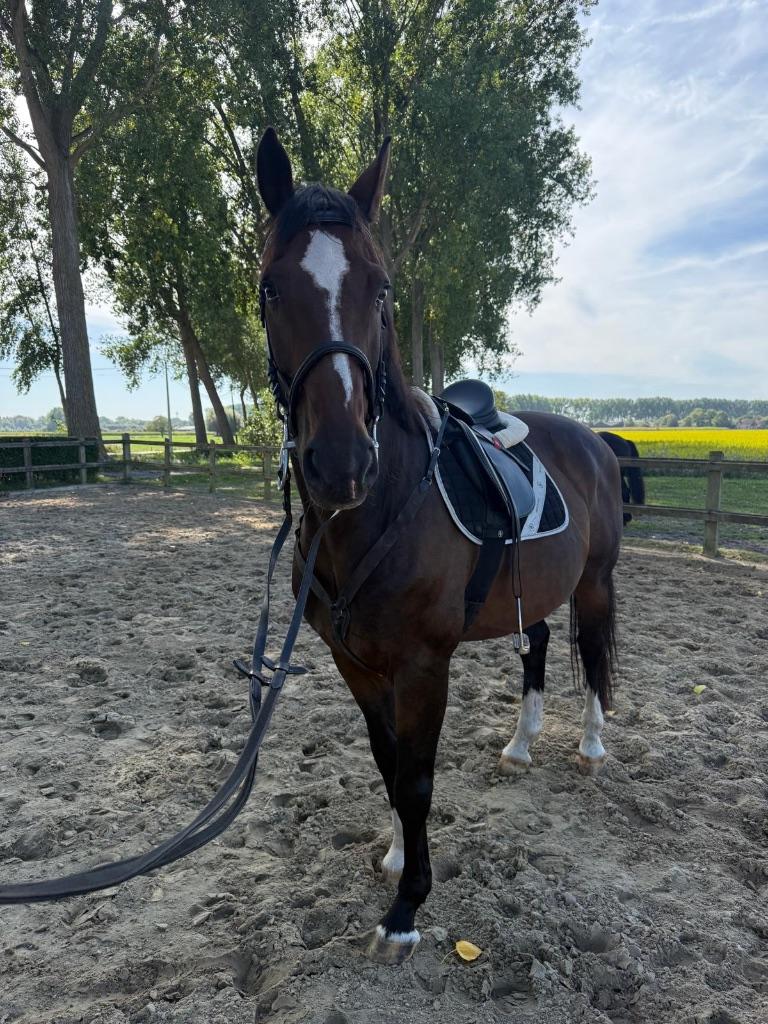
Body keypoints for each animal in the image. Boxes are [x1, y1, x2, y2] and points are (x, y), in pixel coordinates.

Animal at [256, 128, 623, 965]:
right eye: (270, 289)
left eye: (382, 290)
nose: (340, 462)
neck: (381, 510)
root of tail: (595, 439)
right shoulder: (355, 663)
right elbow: (388, 763)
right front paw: (397, 854)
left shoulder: (424, 664)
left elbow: (418, 777)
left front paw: (406, 907)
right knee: (539, 642)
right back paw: (521, 745)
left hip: (595, 581)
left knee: (591, 650)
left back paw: (589, 745)